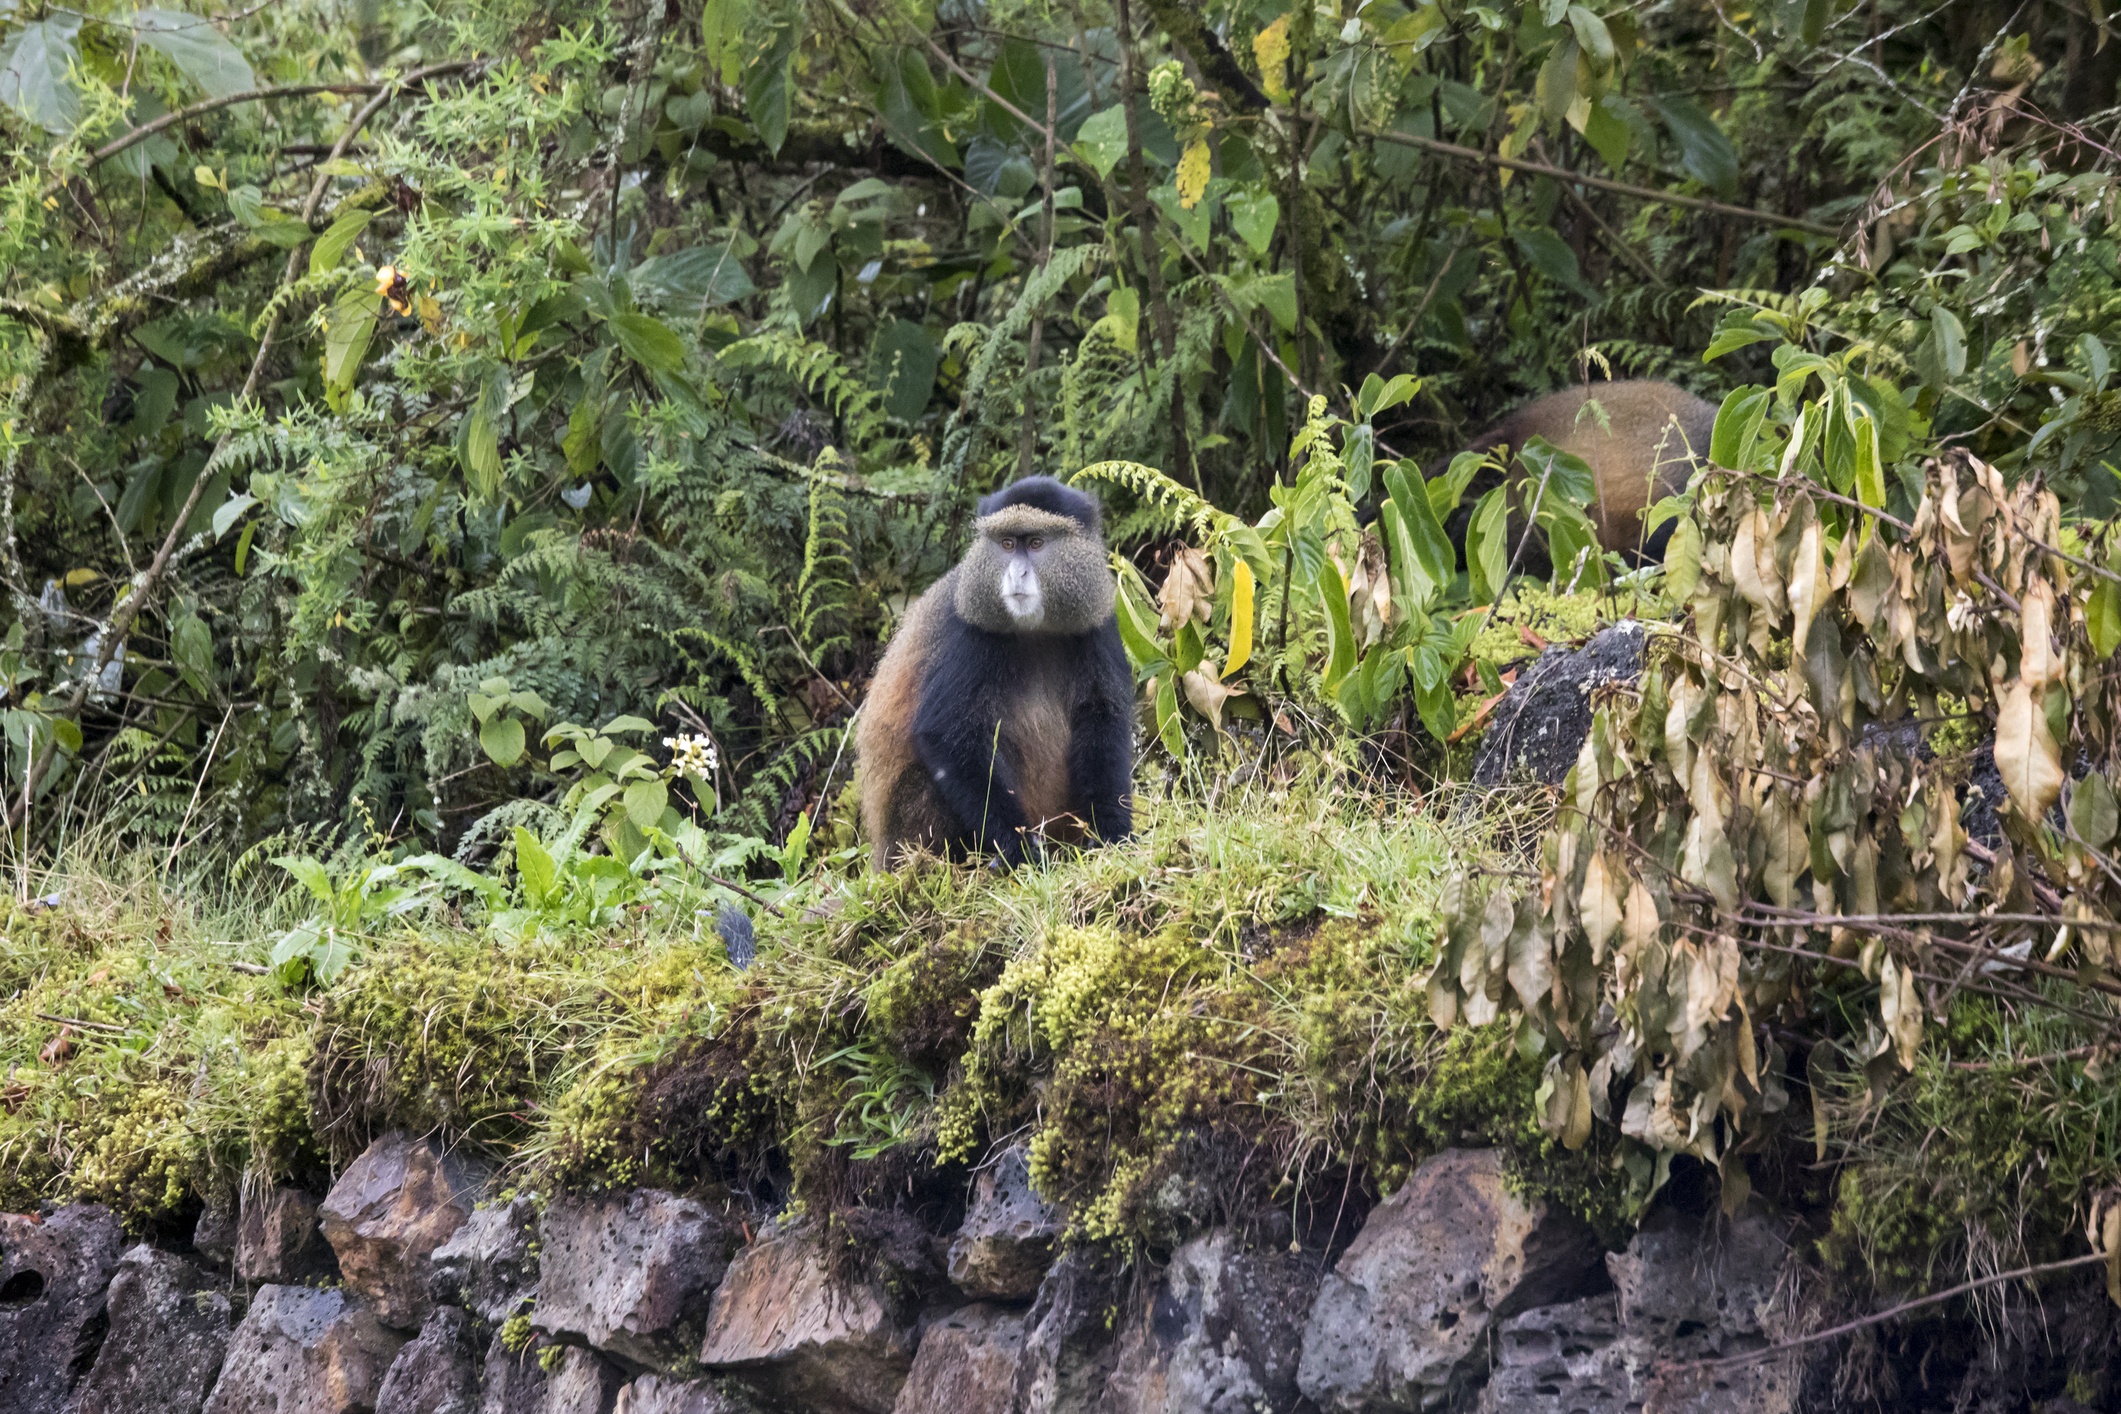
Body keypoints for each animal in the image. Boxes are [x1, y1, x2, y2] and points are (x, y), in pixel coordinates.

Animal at [856, 476, 1134, 869]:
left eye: (1035, 543)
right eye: (1006, 544)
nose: (1017, 573)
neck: (1036, 629)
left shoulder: (1098, 619)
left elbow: (1101, 715)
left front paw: (1112, 834)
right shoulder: (970, 629)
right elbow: (948, 732)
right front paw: (1017, 850)